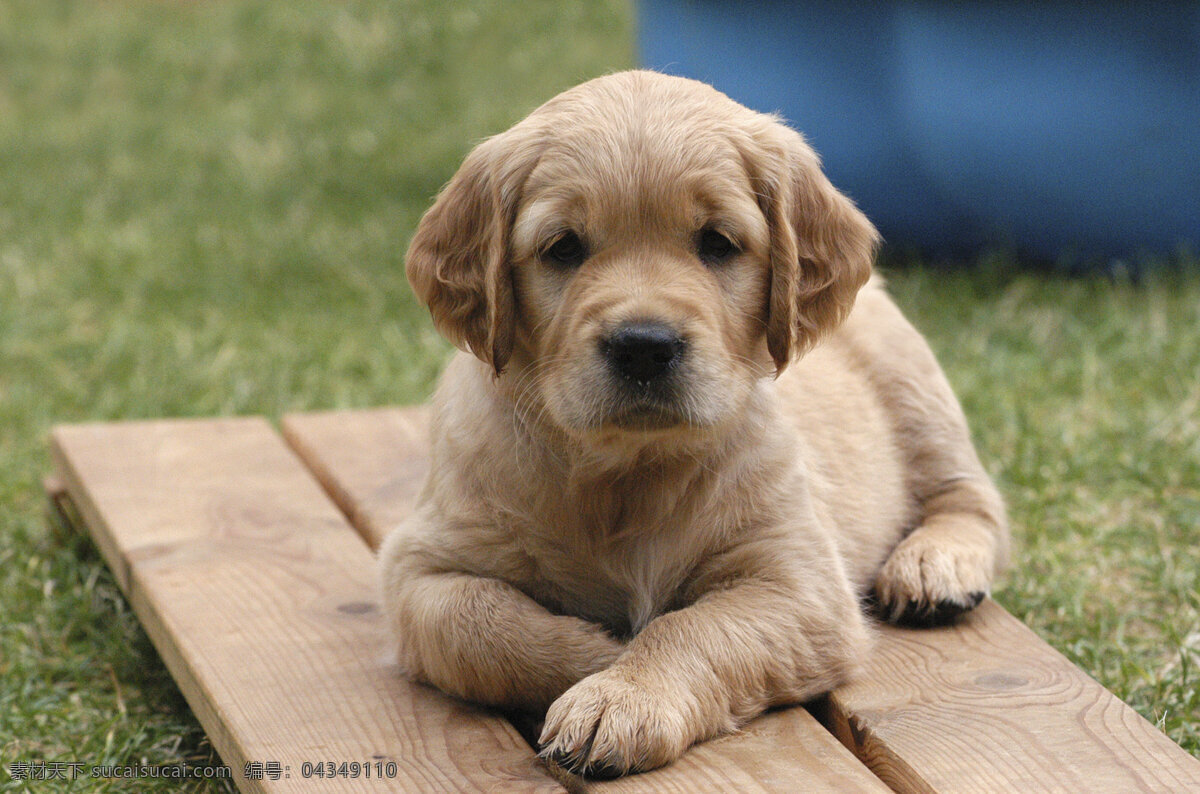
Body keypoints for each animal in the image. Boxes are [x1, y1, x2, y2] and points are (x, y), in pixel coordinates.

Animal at [379, 71, 1008, 782]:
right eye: (562, 248)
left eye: (717, 243)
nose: (643, 346)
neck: (625, 471)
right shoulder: (421, 571)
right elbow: (483, 629)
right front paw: (602, 661)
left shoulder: (798, 583)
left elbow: (691, 627)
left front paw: (623, 692)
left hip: (913, 385)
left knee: (971, 498)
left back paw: (935, 565)